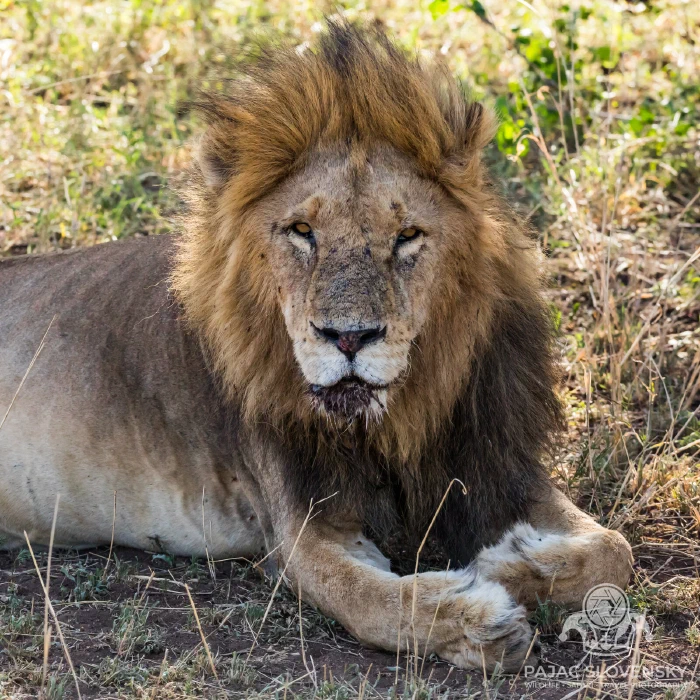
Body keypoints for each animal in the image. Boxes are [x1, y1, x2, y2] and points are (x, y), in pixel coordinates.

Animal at [0, 22, 632, 672]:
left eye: (407, 236)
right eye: (302, 232)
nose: (348, 336)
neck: (395, 423)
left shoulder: (493, 463)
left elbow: (614, 550)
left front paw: (509, 559)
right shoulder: (302, 527)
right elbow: (372, 599)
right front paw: (477, 617)